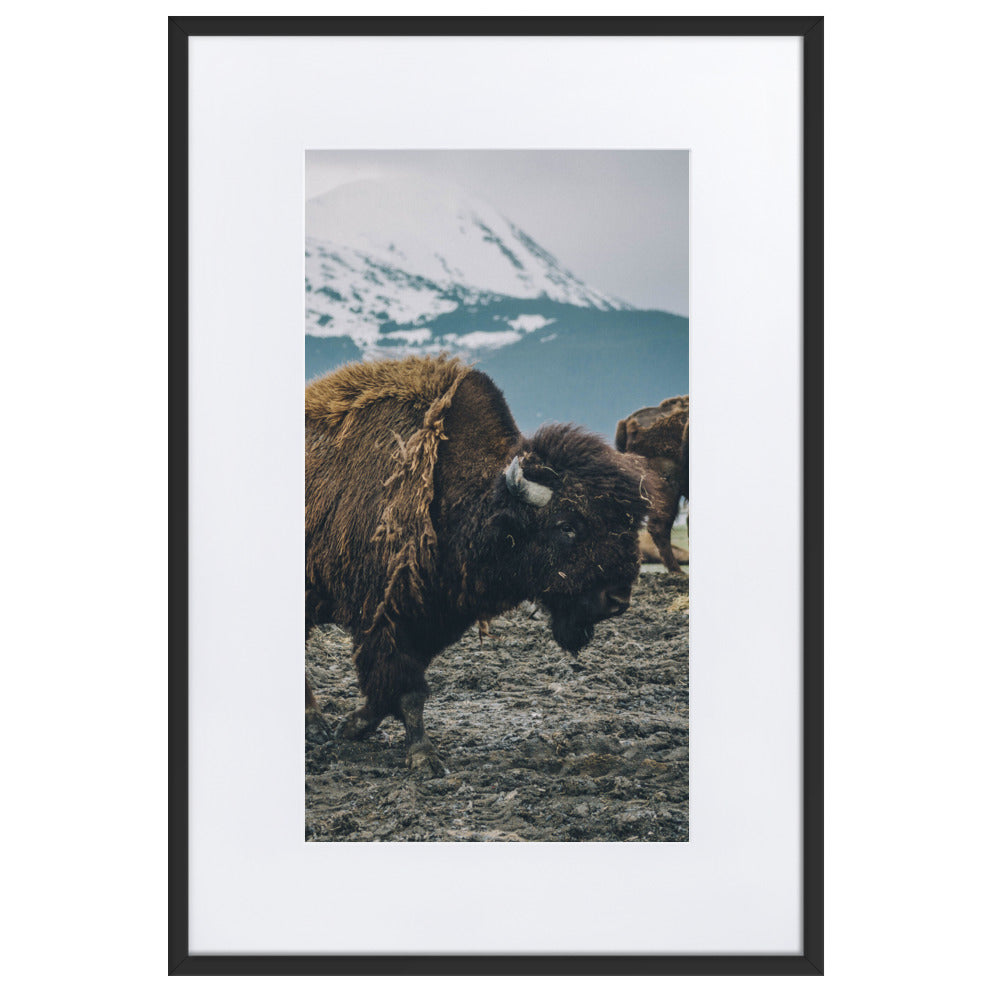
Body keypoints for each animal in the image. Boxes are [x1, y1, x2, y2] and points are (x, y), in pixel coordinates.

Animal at [306, 355, 658, 776]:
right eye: (567, 526)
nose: (617, 599)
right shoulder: (388, 620)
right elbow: (406, 690)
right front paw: (424, 757)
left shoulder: (431, 620)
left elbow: (389, 691)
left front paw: (353, 726)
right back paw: (314, 725)